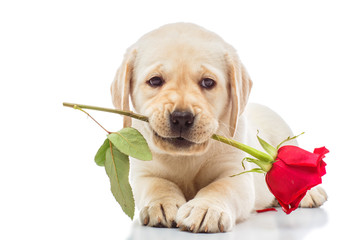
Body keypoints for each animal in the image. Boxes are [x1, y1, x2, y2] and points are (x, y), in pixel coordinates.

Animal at [109, 22, 326, 232]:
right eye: (155, 81)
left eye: (208, 82)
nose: (181, 117)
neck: (186, 157)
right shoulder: (144, 172)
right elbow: (158, 184)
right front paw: (161, 203)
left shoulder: (235, 173)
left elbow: (220, 187)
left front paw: (205, 208)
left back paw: (309, 193)